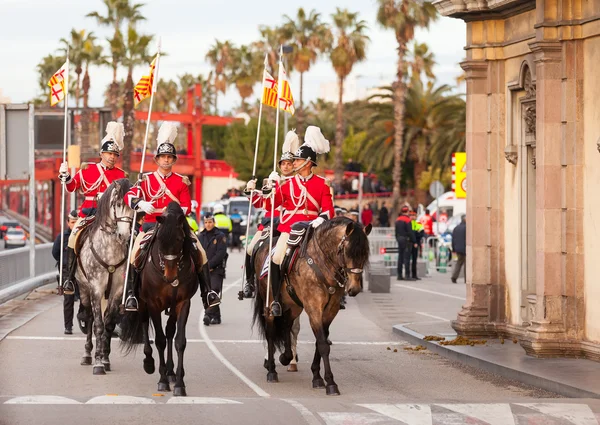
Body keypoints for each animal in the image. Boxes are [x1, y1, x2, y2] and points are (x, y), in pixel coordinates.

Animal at [75, 178, 134, 374]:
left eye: (134, 207)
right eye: (118, 204)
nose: (124, 235)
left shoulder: (116, 291)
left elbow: (108, 324)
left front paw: (105, 358)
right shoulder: (95, 288)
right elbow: (98, 325)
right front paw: (98, 363)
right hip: (84, 290)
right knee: (90, 319)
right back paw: (87, 355)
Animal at [120, 200, 198, 396]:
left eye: (179, 239)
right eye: (160, 240)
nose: (170, 277)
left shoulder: (183, 303)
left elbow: (179, 341)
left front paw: (179, 384)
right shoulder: (153, 304)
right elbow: (160, 341)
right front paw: (162, 380)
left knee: (170, 331)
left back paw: (171, 372)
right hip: (142, 304)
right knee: (145, 325)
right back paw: (150, 363)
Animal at [252, 217, 370, 396]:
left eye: (365, 254)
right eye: (347, 252)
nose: (354, 289)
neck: (323, 263)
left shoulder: (330, 311)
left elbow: (320, 341)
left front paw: (317, 377)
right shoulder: (314, 308)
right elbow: (323, 344)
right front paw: (330, 383)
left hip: (294, 305)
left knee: (287, 325)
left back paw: (287, 357)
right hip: (270, 302)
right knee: (271, 332)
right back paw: (272, 370)